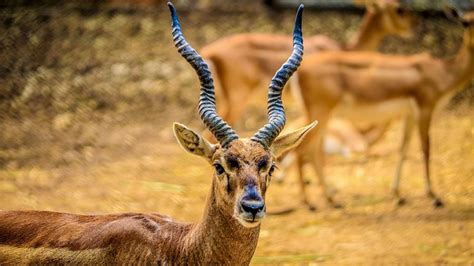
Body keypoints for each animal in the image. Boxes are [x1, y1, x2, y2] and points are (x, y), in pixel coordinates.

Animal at [294, 9, 472, 210]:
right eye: (466, 23)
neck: (441, 72)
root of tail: (300, 71)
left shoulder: (410, 115)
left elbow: (403, 149)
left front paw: (398, 194)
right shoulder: (426, 109)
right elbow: (426, 148)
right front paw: (434, 196)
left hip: (322, 118)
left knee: (313, 152)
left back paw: (331, 199)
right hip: (321, 114)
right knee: (302, 151)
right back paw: (309, 202)